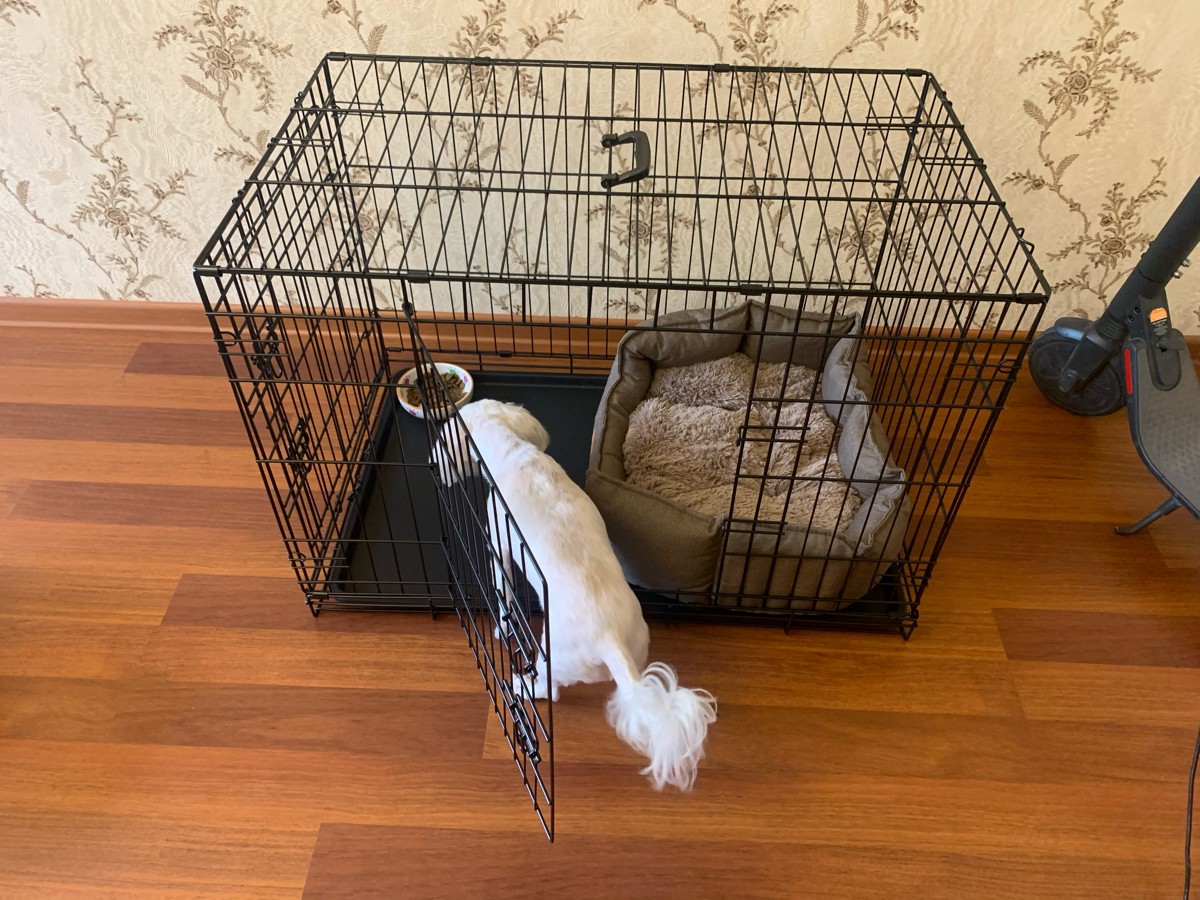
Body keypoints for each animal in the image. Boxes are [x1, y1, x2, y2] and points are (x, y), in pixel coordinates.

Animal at [436, 399, 717, 791]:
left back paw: (522, 684)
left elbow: (502, 588)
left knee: (548, 690)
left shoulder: (499, 537)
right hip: (638, 645)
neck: (511, 452)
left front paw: (502, 624)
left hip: (551, 657)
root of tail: (610, 641)